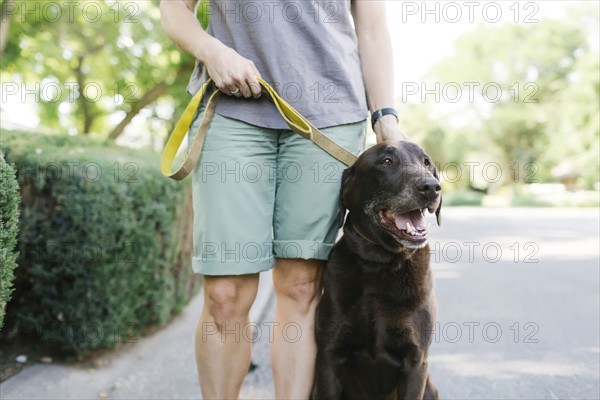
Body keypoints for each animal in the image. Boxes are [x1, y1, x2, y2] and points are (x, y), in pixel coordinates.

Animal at [314, 141, 440, 400]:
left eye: (426, 162)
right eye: (386, 161)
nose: (431, 186)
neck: (380, 265)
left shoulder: (415, 361)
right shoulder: (329, 355)